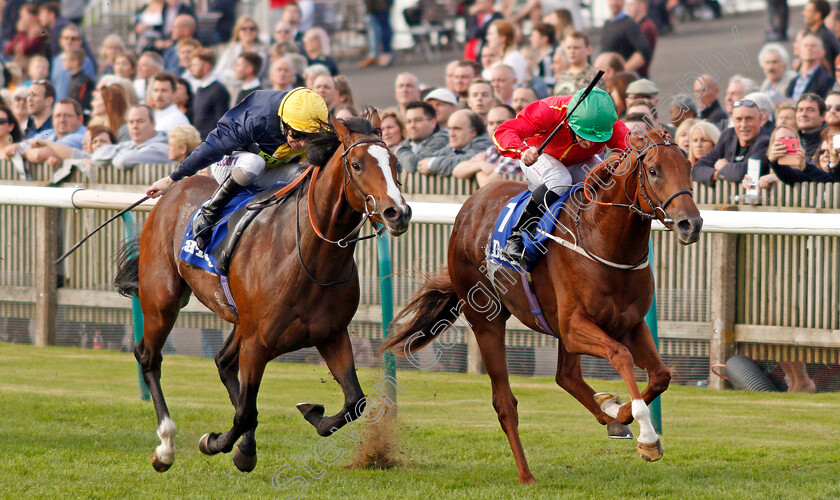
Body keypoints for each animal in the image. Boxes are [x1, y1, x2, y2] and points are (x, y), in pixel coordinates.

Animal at [114, 111, 410, 474]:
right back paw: (166, 447)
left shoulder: (331, 334)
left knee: (222, 361)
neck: (307, 257)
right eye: (356, 165)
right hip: (163, 300)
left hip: (239, 319)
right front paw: (216, 442)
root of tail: (171, 194)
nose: (398, 213)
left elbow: (355, 401)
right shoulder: (258, 342)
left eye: (395, 163)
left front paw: (310, 413)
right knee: (149, 357)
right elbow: (244, 412)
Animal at [380, 129, 704, 484]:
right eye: (655, 170)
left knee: (566, 376)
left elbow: (661, 375)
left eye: (689, 166)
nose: (691, 224)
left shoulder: (628, 324)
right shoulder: (576, 327)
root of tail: (470, 206)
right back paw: (526, 474)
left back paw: (607, 413)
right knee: (505, 402)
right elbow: (621, 356)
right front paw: (647, 438)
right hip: (486, 320)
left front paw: (618, 412)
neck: (603, 237)